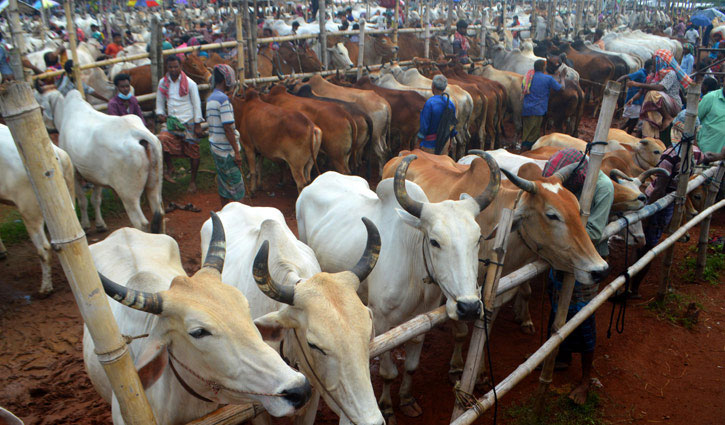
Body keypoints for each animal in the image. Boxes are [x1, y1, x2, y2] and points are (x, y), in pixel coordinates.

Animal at [39, 90, 163, 234]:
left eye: (42, 107)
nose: (47, 128)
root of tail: (137, 133)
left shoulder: (74, 173)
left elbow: (82, 201)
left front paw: (86, 225)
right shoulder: (95, 176)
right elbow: (96, 200)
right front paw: (100, 224)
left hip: (128, 195)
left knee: (141, 223)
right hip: (154, 185)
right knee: (159, 213)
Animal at [294, 155, 498, 420]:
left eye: (478, 239)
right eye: (434, 241)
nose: (469, 307)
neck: (414, 270)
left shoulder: (422, 319)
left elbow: (411, 366)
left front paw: (407, 398)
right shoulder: (381, 321)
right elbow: (388, 373)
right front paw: (388, 406)